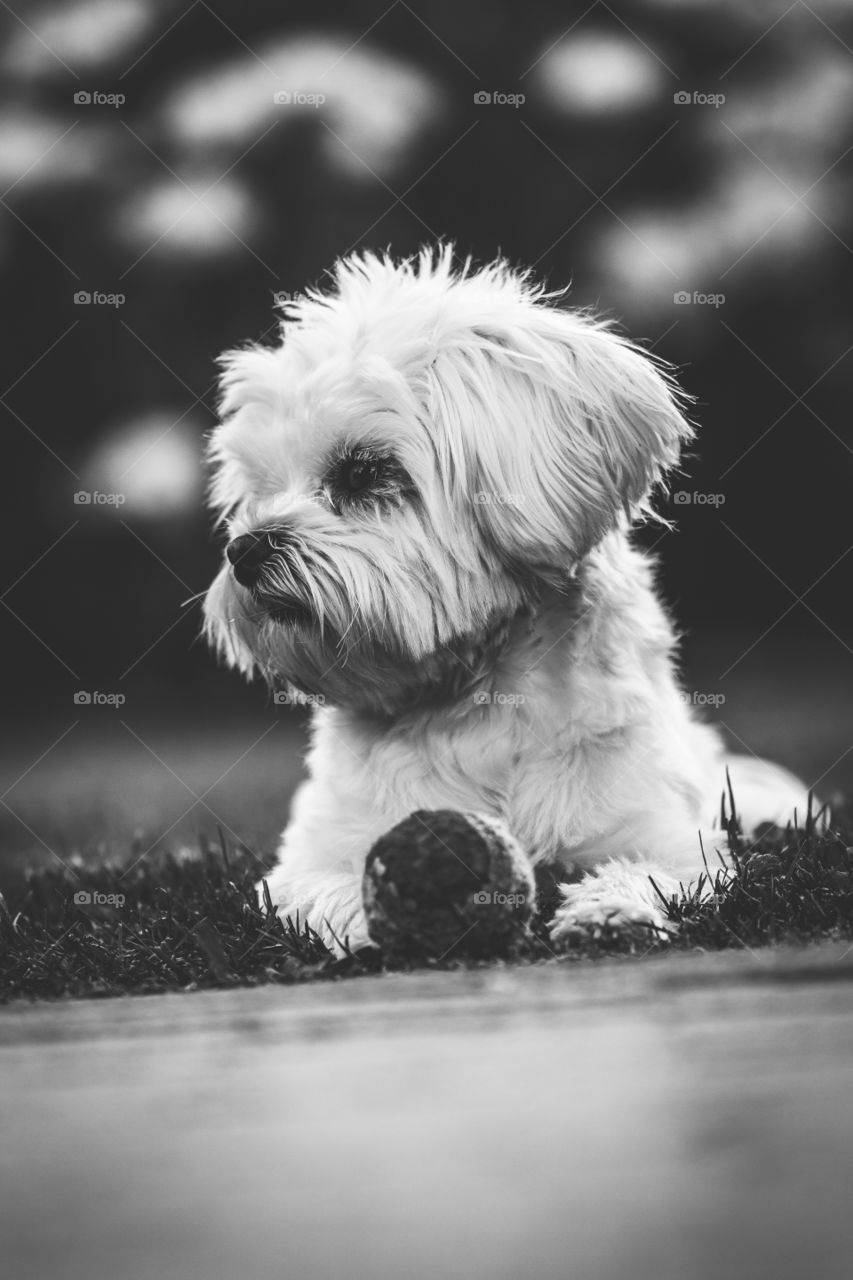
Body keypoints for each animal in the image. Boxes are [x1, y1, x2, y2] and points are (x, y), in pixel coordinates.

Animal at [202, 244, 809, 957]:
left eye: (363, 471)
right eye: (260, 491)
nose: (245, 550)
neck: (480, 700)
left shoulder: (664, 839)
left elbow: (642, 871)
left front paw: (610, 915)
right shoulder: (312, 857)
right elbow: (326, 890)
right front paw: (372, 921)